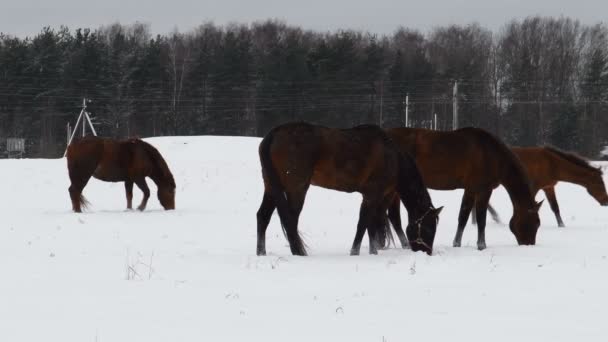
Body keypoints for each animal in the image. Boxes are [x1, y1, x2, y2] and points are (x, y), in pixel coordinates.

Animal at [255, 121, 442, 255]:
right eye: (428, 227)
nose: (426, 252)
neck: (394, 159)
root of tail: (273, 134)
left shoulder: (378, 196)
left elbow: (371, 225)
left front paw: (373, 251)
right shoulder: (373, 194)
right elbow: (363, 223)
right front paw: (355, 252)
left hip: (271, 186)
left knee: (263, 216)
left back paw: (261, 252)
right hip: (296, 188)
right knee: (291, 220)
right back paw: (298, 253)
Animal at [382, 127, 544, 250]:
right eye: (535, 222)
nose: (529, 244)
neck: (492, 155)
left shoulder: (470, 190)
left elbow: (463, 217)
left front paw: (457, 243)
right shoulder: (484, 190)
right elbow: (481, 219)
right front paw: (481, 245)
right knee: (394, 216)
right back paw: (405, 245)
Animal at [476, 145, 608, 227]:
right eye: (599, 183)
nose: (606, 201)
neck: (552, 164)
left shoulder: (548, 187)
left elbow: (555, 207)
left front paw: (561, 225)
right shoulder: (533, 186)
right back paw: (493, 217)